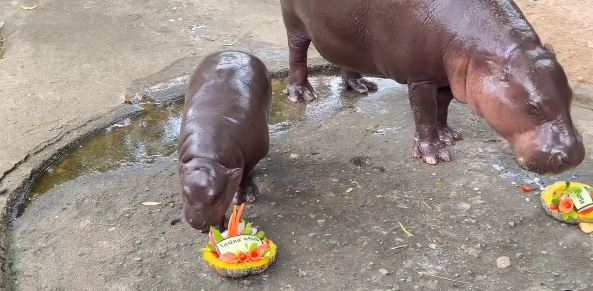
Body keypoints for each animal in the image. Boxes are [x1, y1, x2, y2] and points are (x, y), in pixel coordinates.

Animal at [177, 50, 272, 233]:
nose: (198, 223)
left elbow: (245, 173)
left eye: (217, 197)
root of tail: (234, 50)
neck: (207, 156)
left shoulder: (252, 155)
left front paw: (246, 197)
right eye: (185, 194)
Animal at [278, 0, 584, 173]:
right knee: (297, 54)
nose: (574, 156)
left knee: (344, 57)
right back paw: (301, 95)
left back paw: (362, 86)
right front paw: (433, 155)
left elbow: (443, 106)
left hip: (345, 35)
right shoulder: (421, 77)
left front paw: (449, 135)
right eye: (532, 106)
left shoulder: (449, 76)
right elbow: (424, 113)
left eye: (570, 95)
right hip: (294, 24)